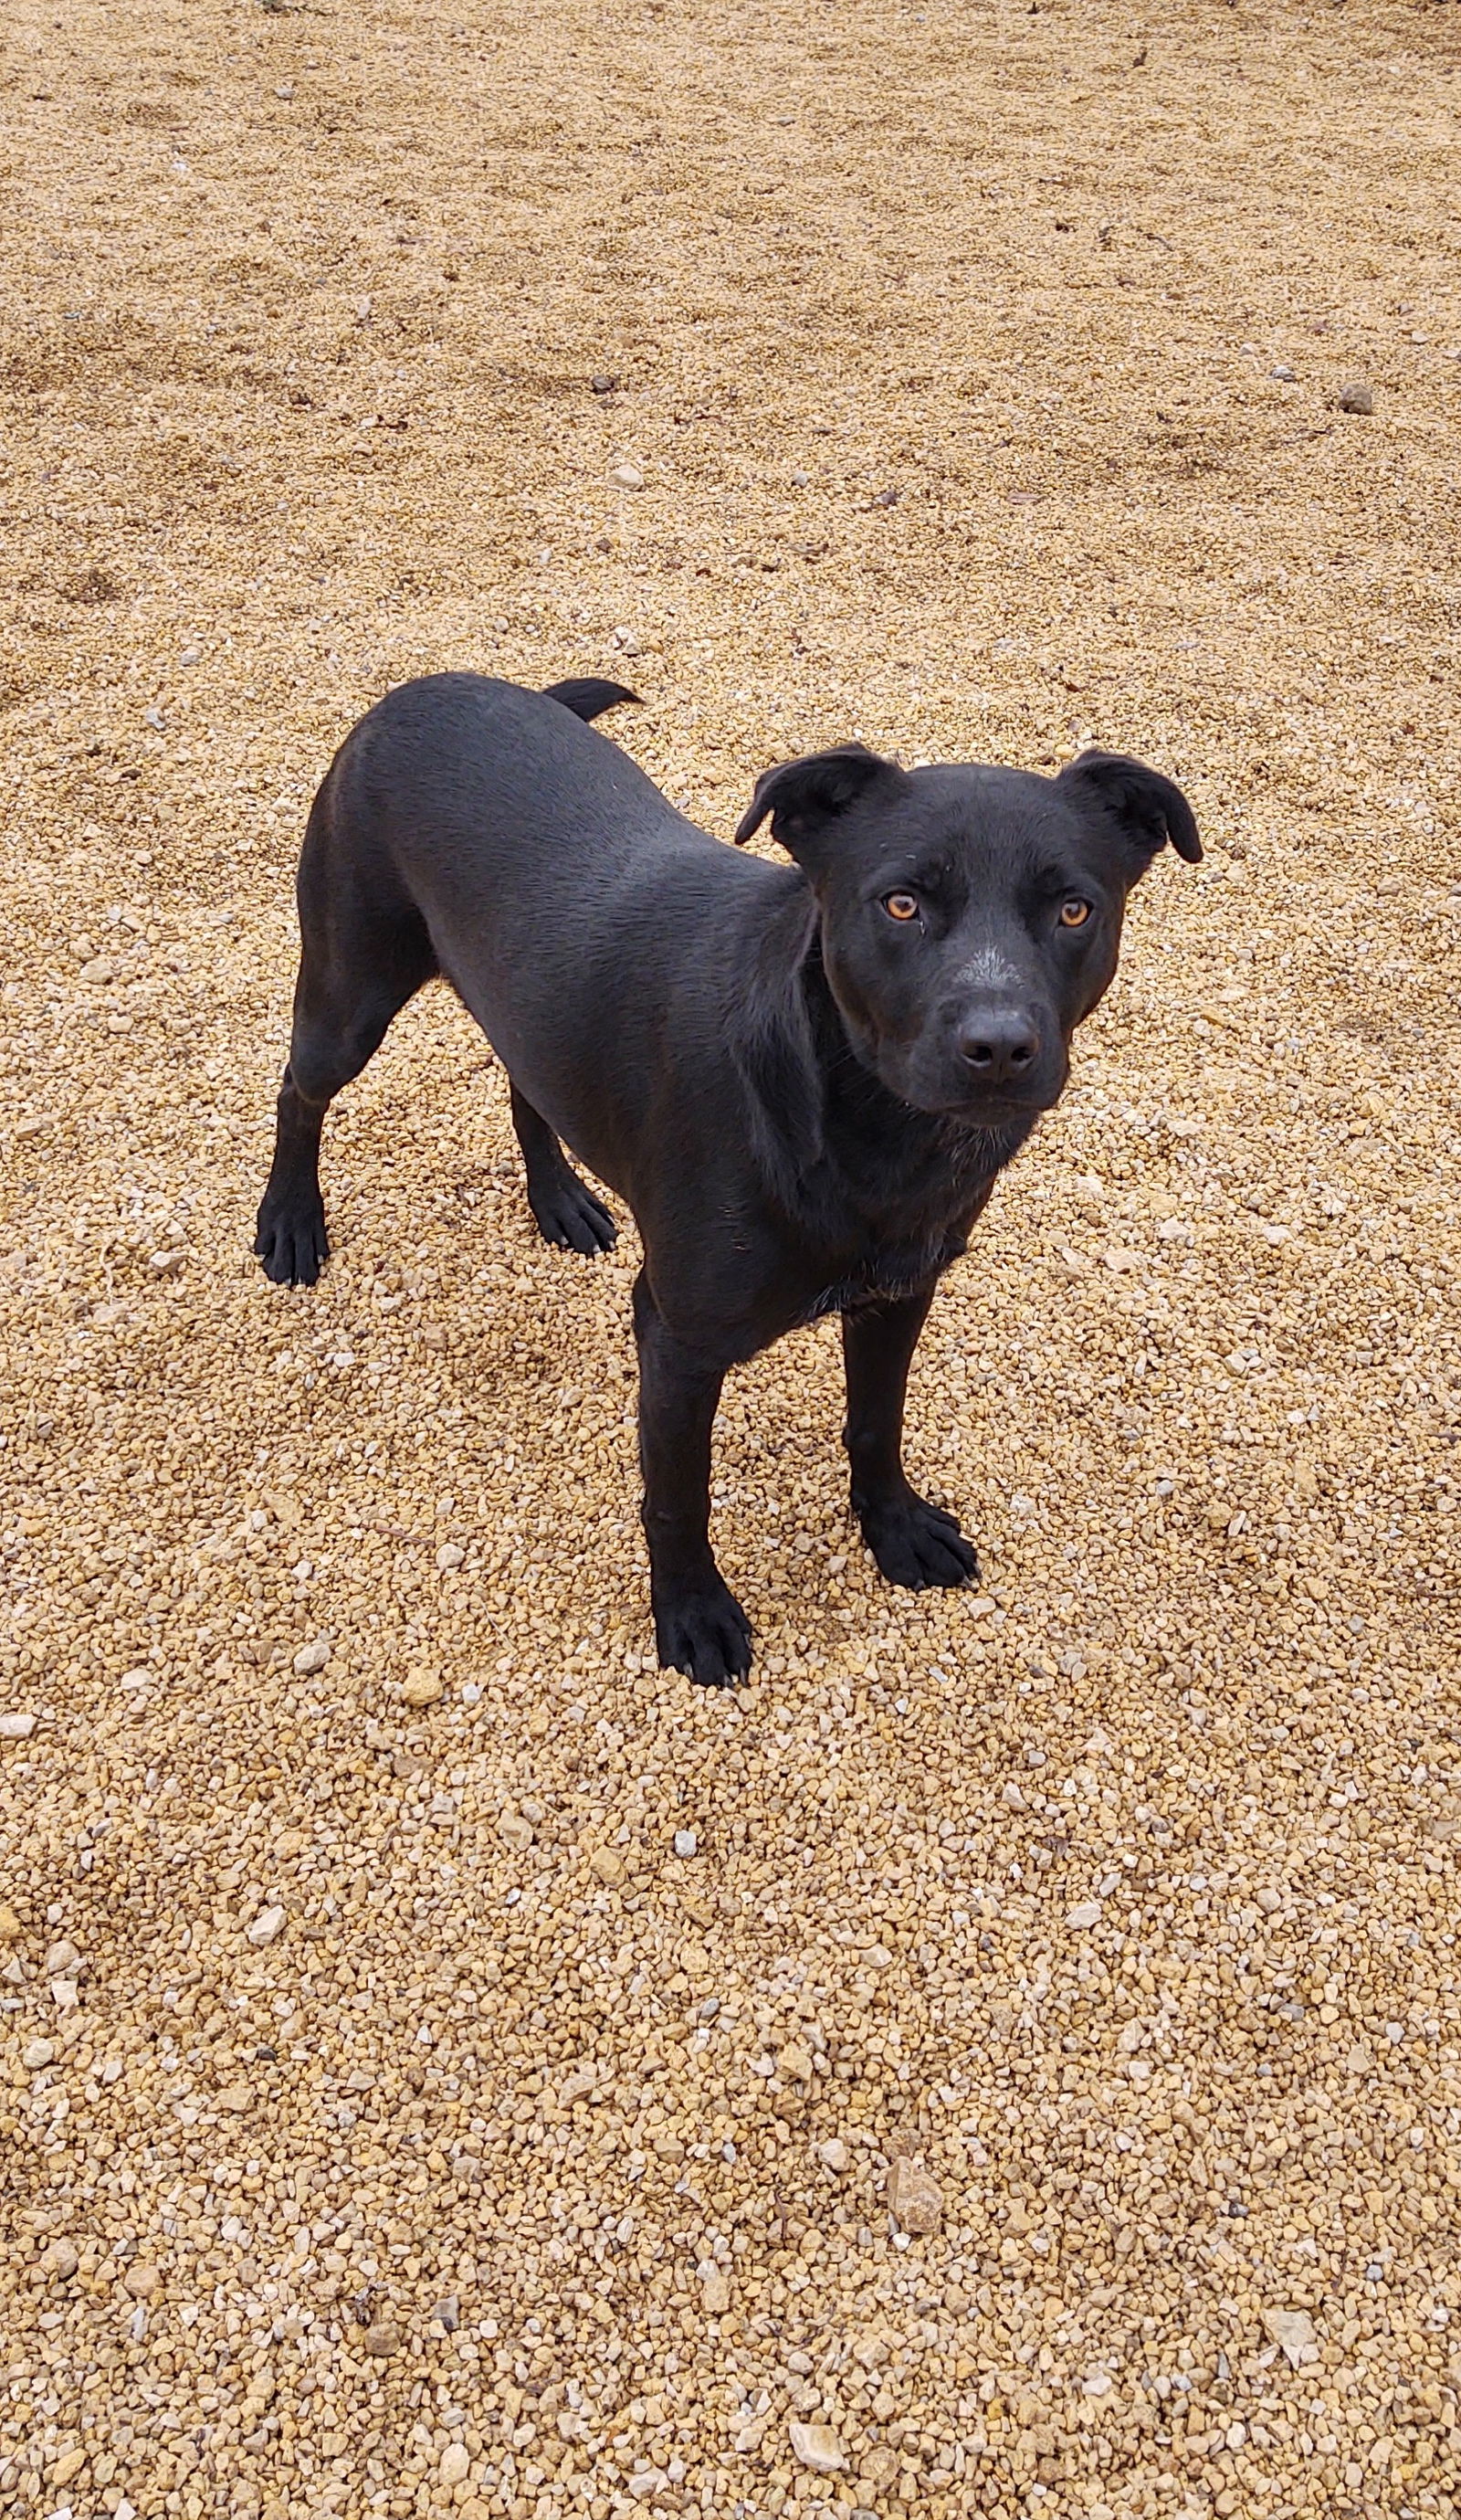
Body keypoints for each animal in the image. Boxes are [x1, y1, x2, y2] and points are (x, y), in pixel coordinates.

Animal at [259, 680, 1199, 1683]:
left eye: (1074, 910)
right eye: (901, 903)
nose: (997, 1049)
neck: (866, 1127)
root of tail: (425, 687)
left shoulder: (900, 1292)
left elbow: (877, 1421)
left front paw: (895, 1526)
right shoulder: (678, 1337)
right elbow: (679, 1493)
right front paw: (693, 1612)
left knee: (525, 1085)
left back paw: (559, 1201)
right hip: (349, 992)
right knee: (297, 1090)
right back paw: (290, 1222)